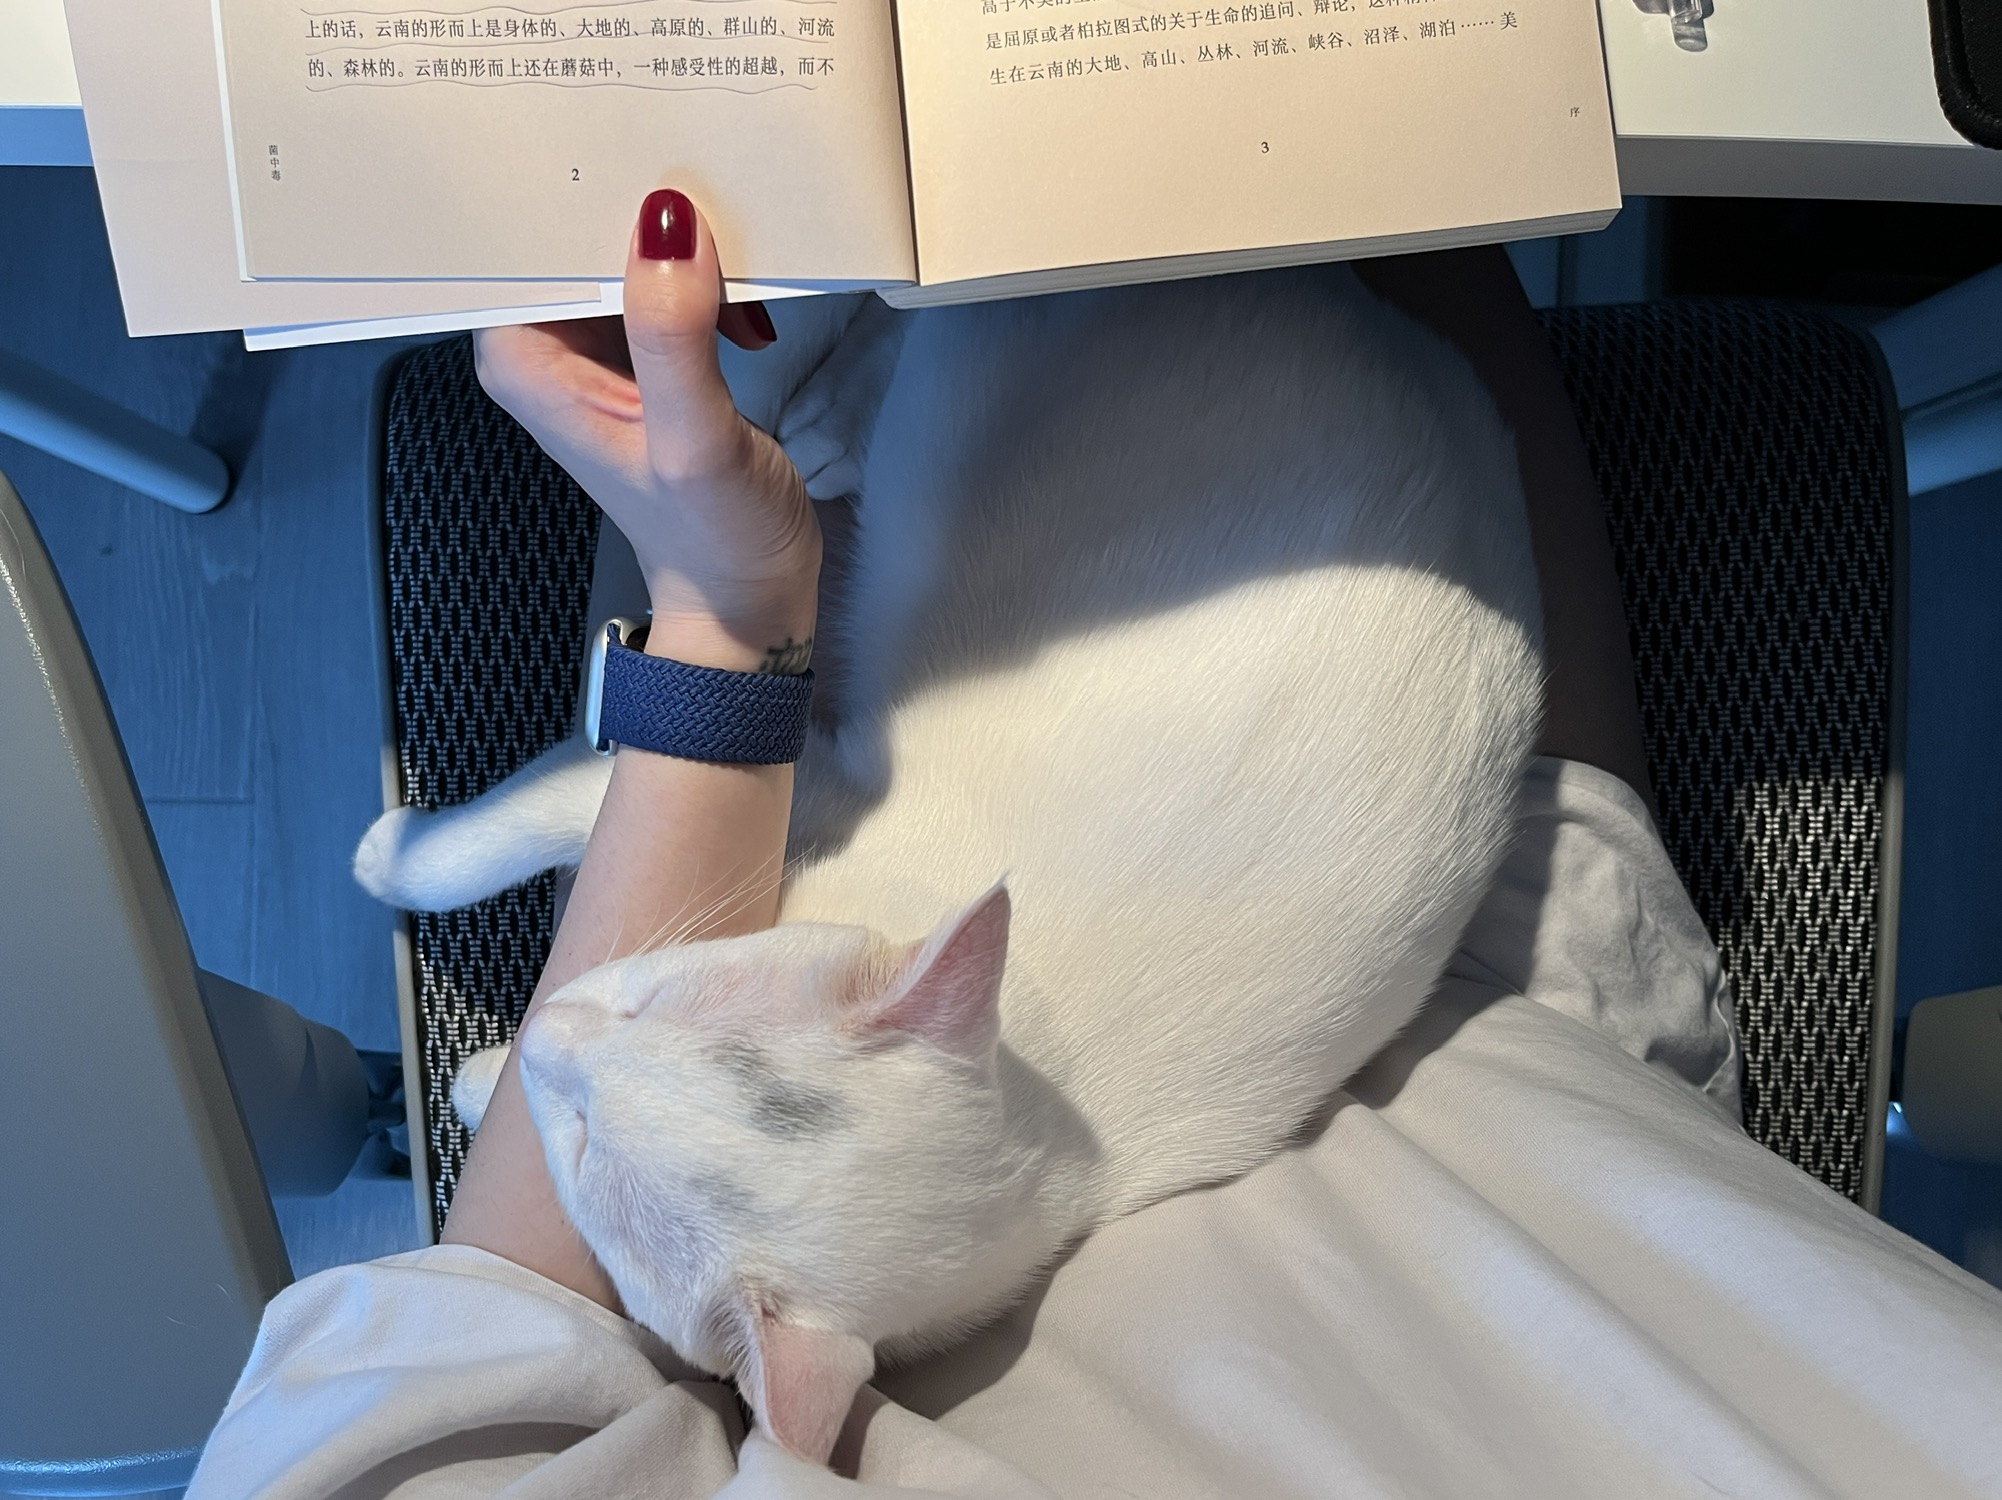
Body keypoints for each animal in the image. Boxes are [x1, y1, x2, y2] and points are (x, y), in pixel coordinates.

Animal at [358, 270, 1543, 1463]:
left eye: (589, 1145)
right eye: (655, 1001)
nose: (554, 1029)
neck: (1051, 1099)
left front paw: (473, 1063)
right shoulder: (822, 785)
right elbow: (532, 814)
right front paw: (395, 859)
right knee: (887, 336)